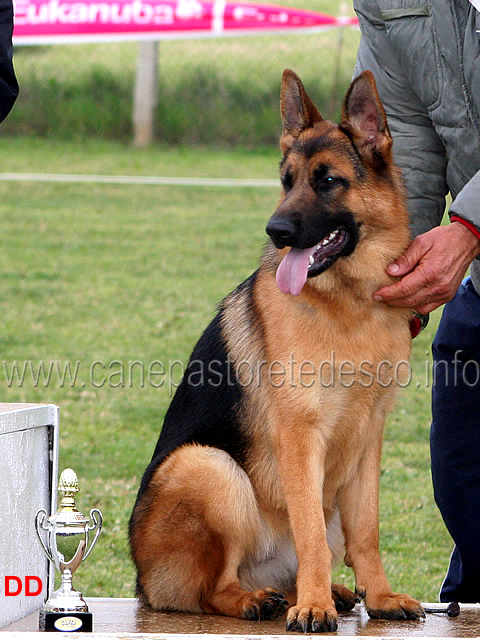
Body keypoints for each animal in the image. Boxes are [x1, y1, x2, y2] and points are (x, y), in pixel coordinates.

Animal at [129, 70, 426, 632]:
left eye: (328, 181)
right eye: (287, 181)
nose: (276, 231)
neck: (347, 303)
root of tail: (142, 583)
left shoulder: (369, 437)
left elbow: (368, 531)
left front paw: (378, 596)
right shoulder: (300, 437)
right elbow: (309, 534)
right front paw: (313, 608)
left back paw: (325, 592)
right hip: (207, 467)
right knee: (211, 588)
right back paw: (259, 600)